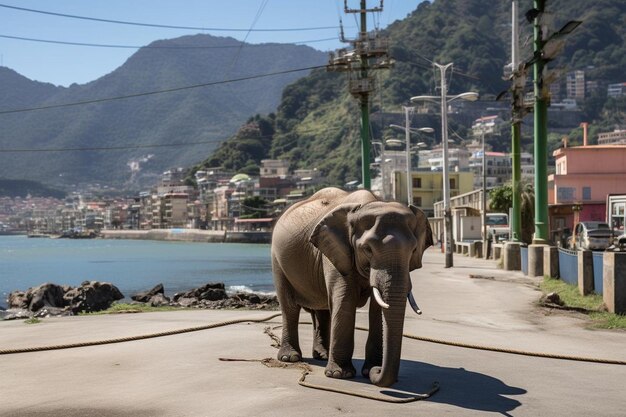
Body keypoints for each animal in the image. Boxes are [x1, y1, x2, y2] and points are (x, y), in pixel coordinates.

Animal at [270, 187, 432, 386]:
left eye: (413, 250)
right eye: (368, 249)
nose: (378, 370)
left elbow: (377, 308)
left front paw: (368, 371)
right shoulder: (336, 251)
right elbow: (345, 299)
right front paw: (340, 375)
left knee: (322, 310)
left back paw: (322, 356)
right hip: (277, 260)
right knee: (290, 306)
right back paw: (290, 358)